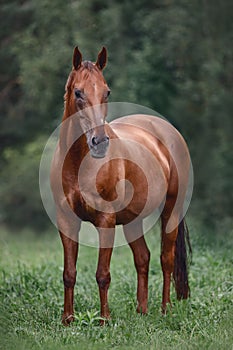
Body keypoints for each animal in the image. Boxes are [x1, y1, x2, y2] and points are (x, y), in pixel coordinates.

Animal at [51, 46, 191, 326]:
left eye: (107, 92)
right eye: (78, 92)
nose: (100, 142)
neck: (78, 163)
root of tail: (166, 130)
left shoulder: (105, 220)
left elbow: (102, 274)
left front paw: (104, 320)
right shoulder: (66, 221)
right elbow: (69, 273)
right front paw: (67, 319)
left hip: (171, 210)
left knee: (166, 259)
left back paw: (165, 309)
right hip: (132, 221)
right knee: (143, 258)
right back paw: (142, 310)